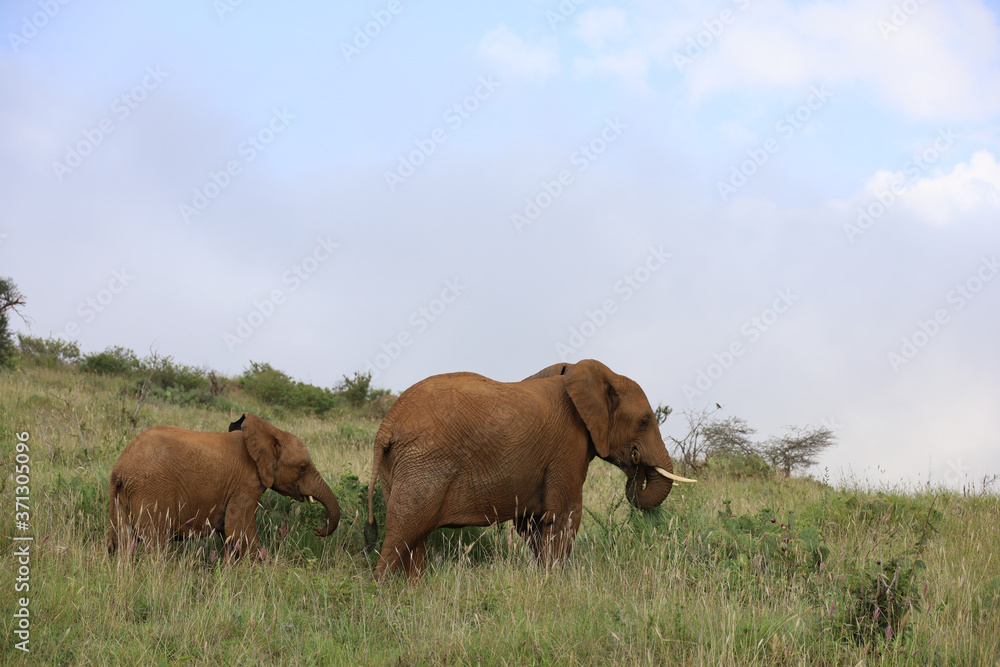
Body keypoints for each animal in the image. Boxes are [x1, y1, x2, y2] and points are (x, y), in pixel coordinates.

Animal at [108, 412, 338, 560]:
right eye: (302, 467)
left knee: (123, 541)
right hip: (152, 490)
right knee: (155, 543)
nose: (318, 531)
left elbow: (229, 536)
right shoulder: (246, 484)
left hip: (123, 497)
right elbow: (239, 531)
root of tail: (120, 467)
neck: (271, 431)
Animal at [366, 360, 696, 580]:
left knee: (414, 536)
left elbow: (534, 524)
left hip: (398, 466)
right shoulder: (567, 447)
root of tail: (387, 425)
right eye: (644, 422)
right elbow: (564, 517)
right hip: (423, 464)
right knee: (405, 529)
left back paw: (415, 588)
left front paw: (544, 578)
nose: (636, 465)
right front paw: (556, 581)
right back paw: (383, 590)